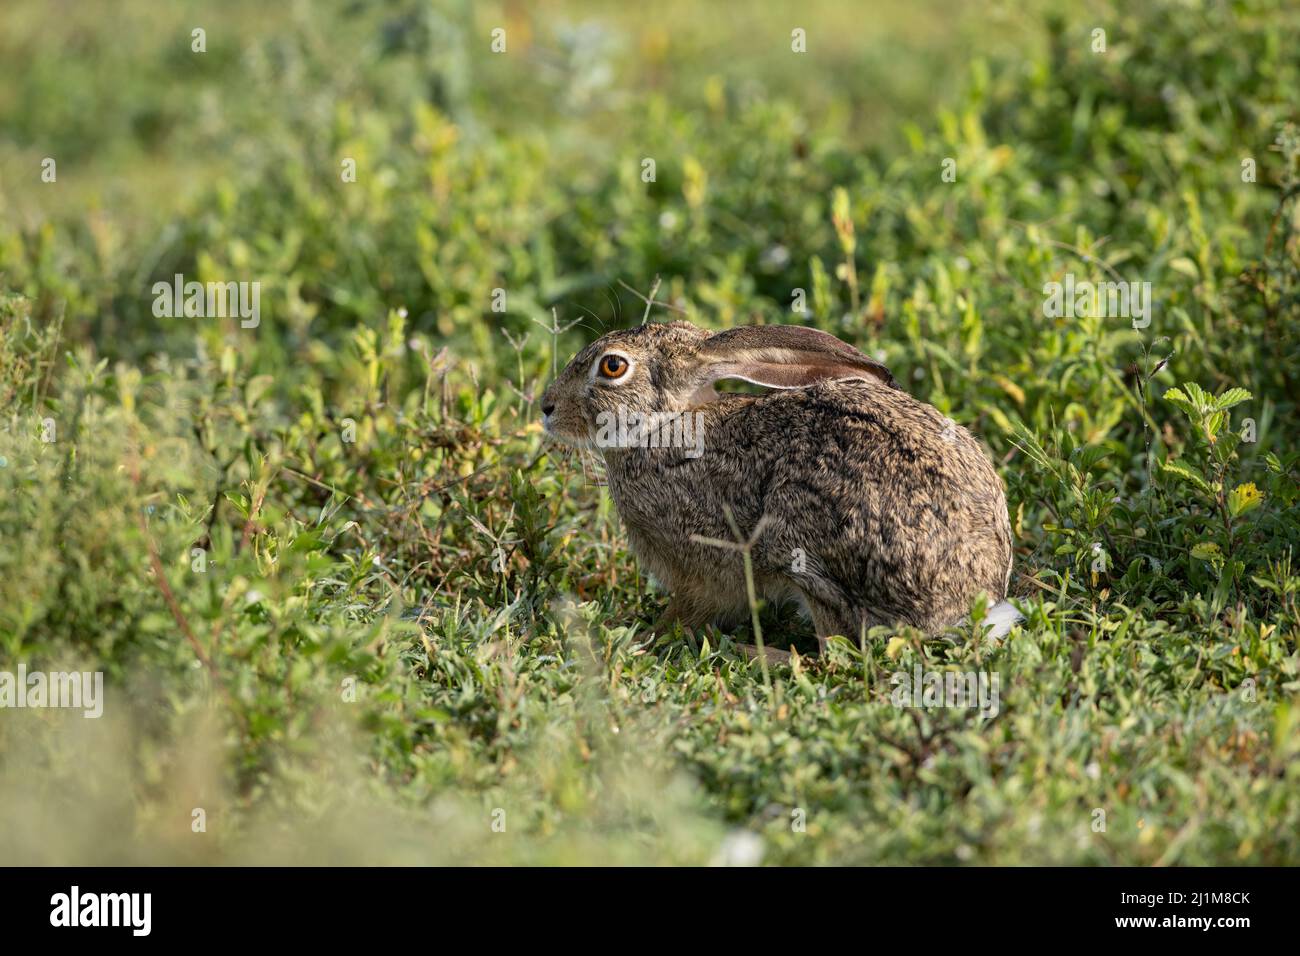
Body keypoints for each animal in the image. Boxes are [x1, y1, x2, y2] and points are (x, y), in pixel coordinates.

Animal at [540, 320, 1017, 655]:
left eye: (612, 366)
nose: (546, 406)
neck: (665, 423)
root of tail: (964, 606)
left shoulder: (702, 568)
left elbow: (685, 610)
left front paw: (644, 636)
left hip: (800, 547)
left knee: (834, 649)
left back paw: (754, 652)